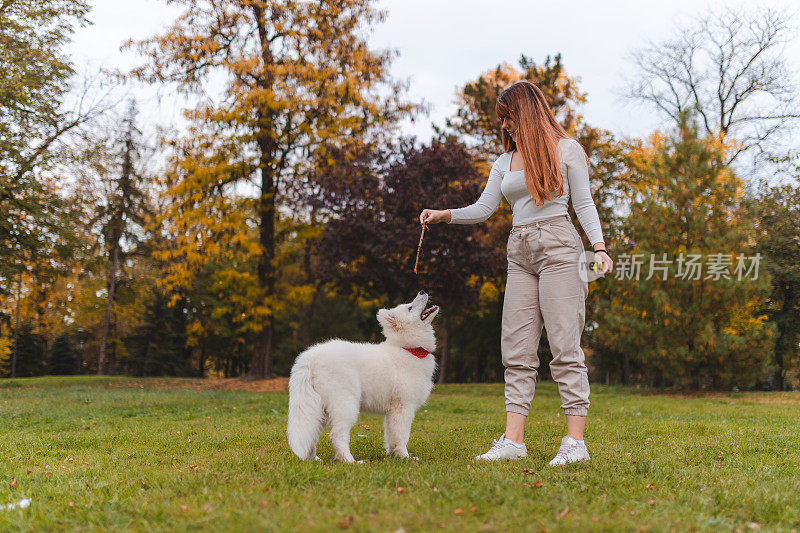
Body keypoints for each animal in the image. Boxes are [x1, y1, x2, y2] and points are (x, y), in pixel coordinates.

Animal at [286, 290, 440, 462]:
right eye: (410, 308)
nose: (422, 291)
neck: (408, 348)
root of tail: (309, 358)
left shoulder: (391, 411)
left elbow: (390, 435)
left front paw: (393, 455)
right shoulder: (403, 407)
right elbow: (402, 436)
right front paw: (405, 457)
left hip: (321, 408)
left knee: (312, 433)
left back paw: (312, 459)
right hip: (346, 404)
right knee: (336, 435)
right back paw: (351, 461)